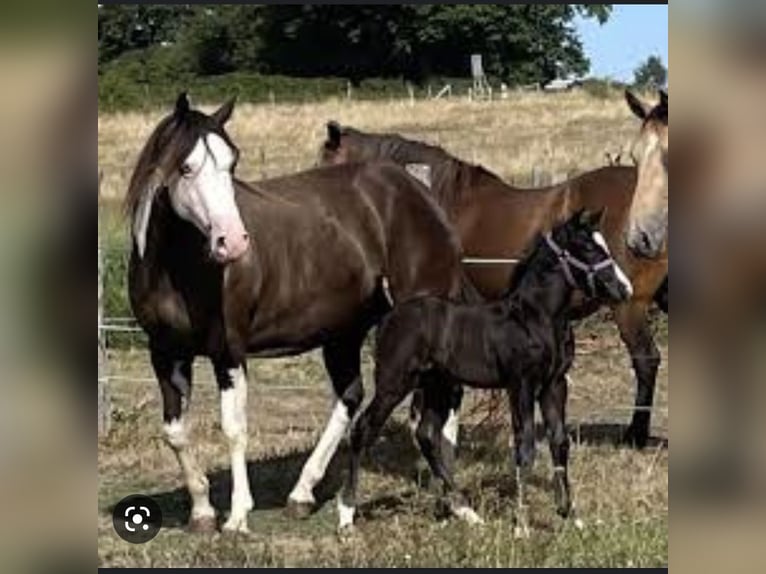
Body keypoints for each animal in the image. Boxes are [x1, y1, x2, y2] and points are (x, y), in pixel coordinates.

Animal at [126, 92, 464, 532]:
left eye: (231, 164)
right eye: (185, 167)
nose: (233, 242)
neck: (177, 267)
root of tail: (419, 193)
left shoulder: (228, 351)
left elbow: (234, 429)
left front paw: (237, 517)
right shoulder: (165, 353)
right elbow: (175, 431)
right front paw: (201, 512)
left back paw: (448, 493)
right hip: (343, 332)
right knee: (350, 398)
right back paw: (302, 494)